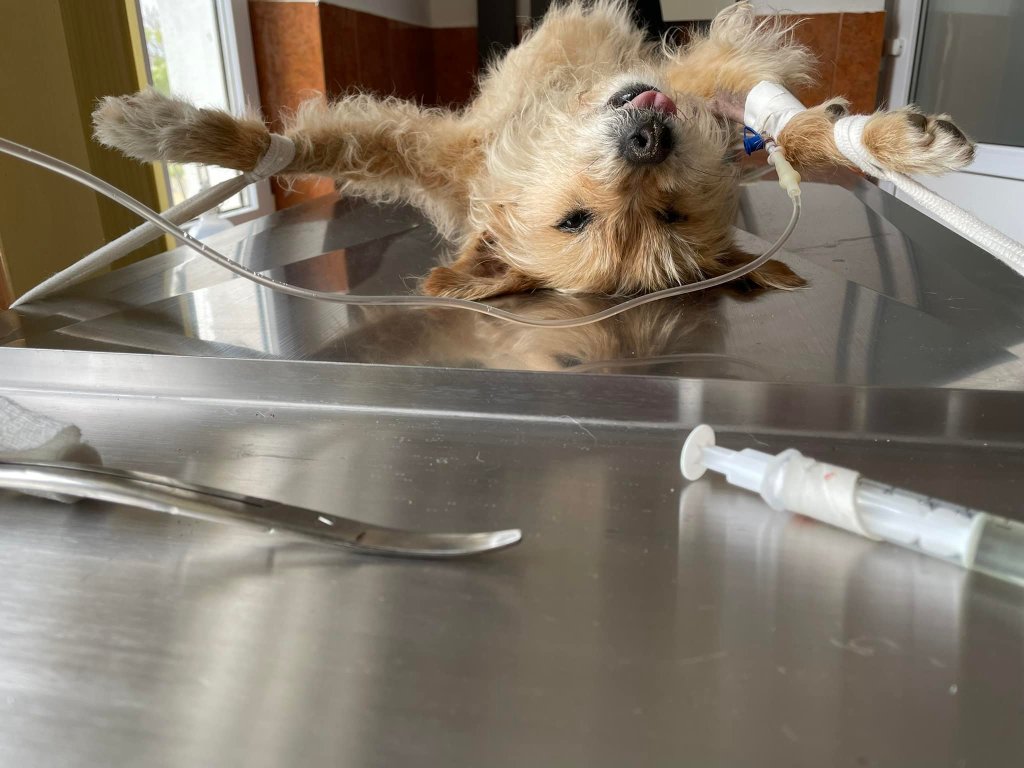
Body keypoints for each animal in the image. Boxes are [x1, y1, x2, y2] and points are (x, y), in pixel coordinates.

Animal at [93, 1, 974, 300]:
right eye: (576, 222)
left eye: (668, 213)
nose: (650, 138)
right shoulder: (426, 151)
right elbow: (307, 148)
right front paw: (168, 130)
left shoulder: (710, 86)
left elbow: (795, 130)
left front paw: (885, 142)